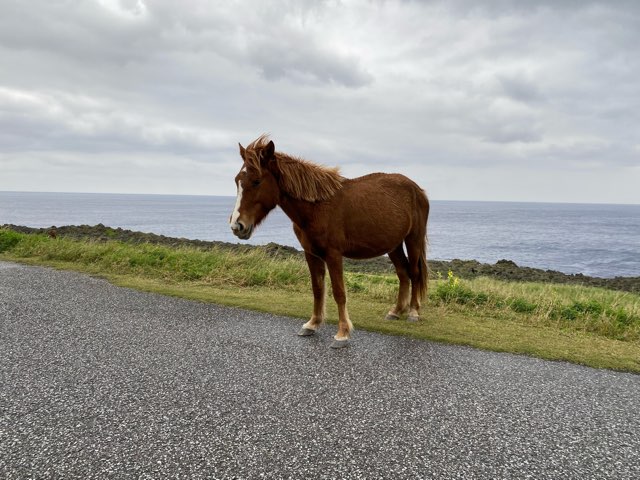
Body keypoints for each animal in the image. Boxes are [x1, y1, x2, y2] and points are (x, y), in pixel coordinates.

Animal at [230, 135, 430, 348]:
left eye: (257, 181)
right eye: (237, 181)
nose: (237, 225)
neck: (317, 207)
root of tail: (417, 189)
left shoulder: (334, 255)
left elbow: (339, 292)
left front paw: (342, 333)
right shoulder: (311, 254)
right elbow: (318, 289)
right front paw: (312, 324)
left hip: (413, 239)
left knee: (414, 273)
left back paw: (413, 312)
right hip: (394, 245)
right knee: (402, 273)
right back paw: (396, 311)